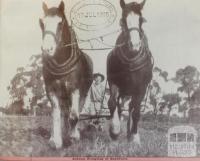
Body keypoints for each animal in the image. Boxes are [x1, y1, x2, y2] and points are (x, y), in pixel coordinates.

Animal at [39, 1, 93, 149]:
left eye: (60, 23)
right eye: (42, 23)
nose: (47, 49)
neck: (61, 60)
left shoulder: (75, 89)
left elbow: (74, 115)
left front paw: (73, 136)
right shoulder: (51, 90)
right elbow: (56, 115)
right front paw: (56, 140)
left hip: (82, 93)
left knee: (75, 111)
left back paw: (74, 132)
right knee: (63, 113)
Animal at [108, 0, 153, 143]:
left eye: (141, 20)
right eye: (123, 21)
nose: (135, 45)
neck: (131, 59)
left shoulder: (141, 87)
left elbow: (136, 111)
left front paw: (135, 137)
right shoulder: (113, 82)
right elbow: (112, 103)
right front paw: (115, 131)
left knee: (132, 107)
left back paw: (131, 134)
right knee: (121, 106)